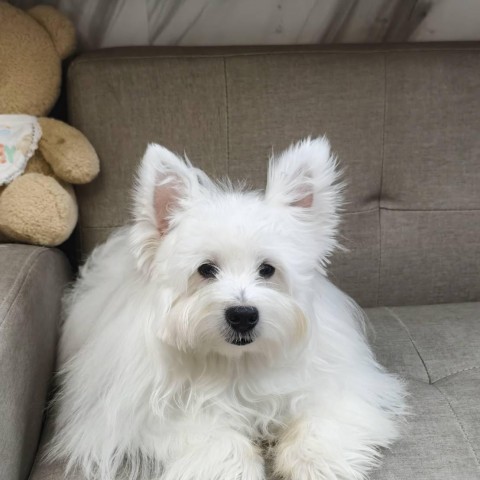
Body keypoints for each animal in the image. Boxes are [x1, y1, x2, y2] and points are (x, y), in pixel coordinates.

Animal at [49, 137, 406, 480]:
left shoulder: (340, 386)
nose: (243, 315)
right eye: (206, 269)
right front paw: (229, 468)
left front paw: (317, 462)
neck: (237, 363)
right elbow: (210, 434)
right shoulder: (141, 414)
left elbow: (321, 418)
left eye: (267, 269)